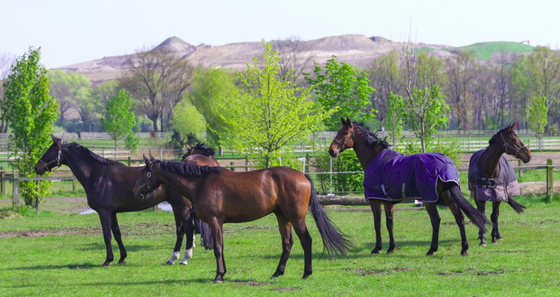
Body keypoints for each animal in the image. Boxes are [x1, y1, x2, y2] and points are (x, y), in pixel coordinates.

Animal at [34, 134, 212, 266]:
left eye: (51, 149)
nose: (37, 167)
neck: (97, 174)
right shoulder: (112, 213)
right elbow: (117, 234)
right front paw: (121, 258)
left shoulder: (104, 212)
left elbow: (107, 235)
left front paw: (108, 260)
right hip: (176, 206)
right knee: (181, 231)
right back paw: (172, 258)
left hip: (182, 207)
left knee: (188, 229)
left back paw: (184, 258)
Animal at [133, 155, 352, 282]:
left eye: (144, 171)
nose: (135, 190)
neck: (201, 183)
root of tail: (303, 175)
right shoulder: (219, 223)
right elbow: (221, 247)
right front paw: (223, 273)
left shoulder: (215, 221)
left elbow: (218, 248)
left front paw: (218, 276)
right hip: (283, 217)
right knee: (287, 244)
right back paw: (277, 273)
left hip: (296, 218)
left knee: (306, 241)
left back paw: (306, 273)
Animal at [328, 117, 490, 256]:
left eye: (345, 133)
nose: (332, 151)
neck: (374, 158)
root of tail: (445, 164)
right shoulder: (388, 203)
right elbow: (389, 223)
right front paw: (390, 248)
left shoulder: (374, 201)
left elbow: (377, 223)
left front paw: (377, 248)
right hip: (448, 198)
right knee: (460, 219)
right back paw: (464, 249)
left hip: (430, 200)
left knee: (436, 220)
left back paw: (432, 249)